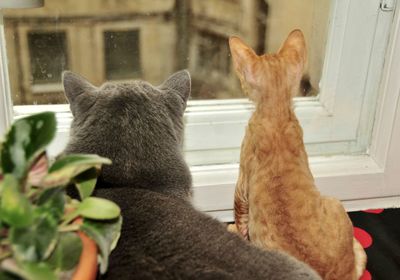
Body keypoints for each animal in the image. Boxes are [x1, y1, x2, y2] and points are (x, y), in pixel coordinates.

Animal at [230, 30, 368, 280]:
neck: (277, 115)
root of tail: (343, 273)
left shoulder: (242, 183)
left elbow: (240, 216)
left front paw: (234, 229)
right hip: (335, 202)